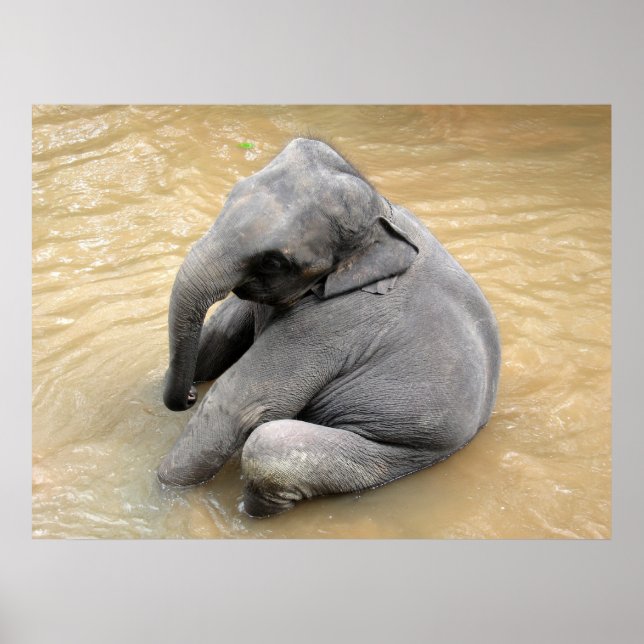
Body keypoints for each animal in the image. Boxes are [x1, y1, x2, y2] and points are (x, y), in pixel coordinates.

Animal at [158, 137, 501, 517]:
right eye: (231, 193)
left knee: (270, 448)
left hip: (408, 450)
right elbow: (218, 340)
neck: (382, 213)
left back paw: (248, 511)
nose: (190, 395)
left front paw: (164, 494)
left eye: (274, 261)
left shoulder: (334, 321)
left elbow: (236, 408)